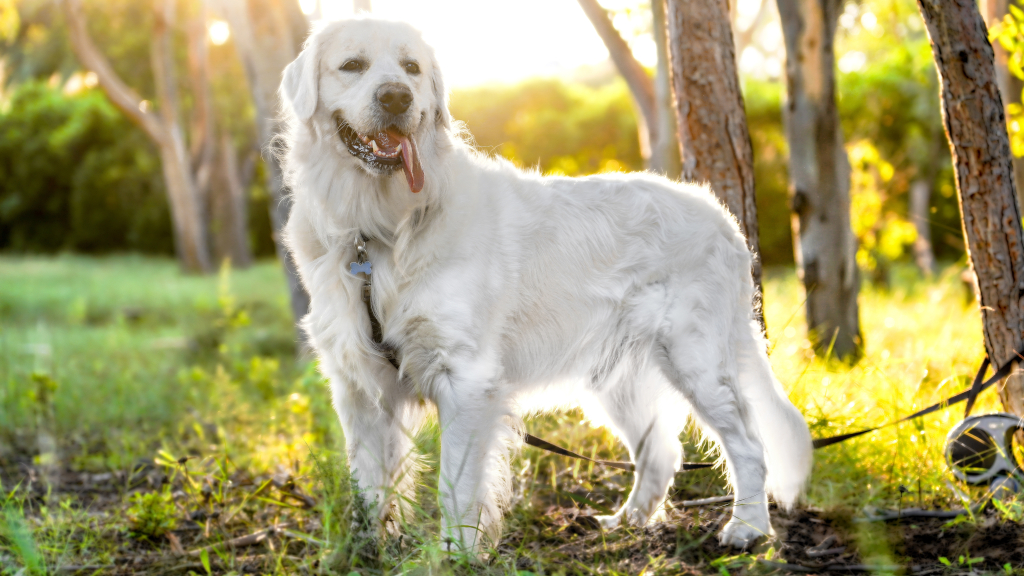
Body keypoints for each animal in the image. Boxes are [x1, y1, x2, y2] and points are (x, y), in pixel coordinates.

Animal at [276, 15, 811, 549]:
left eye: (411, 68)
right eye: (352, 65)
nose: (396, 98)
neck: (378, 229)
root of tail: (724, 220)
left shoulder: (465, 377)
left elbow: (456, 484)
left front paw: (456, 553)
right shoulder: (358, 384)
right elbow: (369, 486)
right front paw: (371, 550)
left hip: (695, 358)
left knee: (749, 444)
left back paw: (746, 528)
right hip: (619, 380)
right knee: (660, 450)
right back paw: (629, 521)